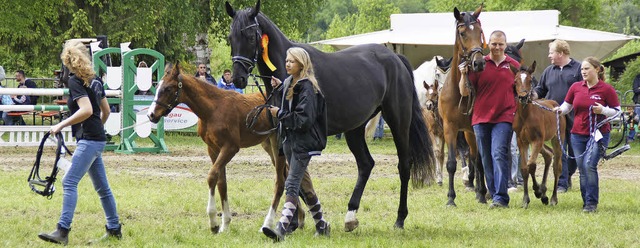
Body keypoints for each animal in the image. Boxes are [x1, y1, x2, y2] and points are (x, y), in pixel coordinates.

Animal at [146, 63, 318, 232]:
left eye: (168, 88)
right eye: (158, 86)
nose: (151, 115)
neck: (213, 109)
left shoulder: (230, 148)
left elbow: (212, 176)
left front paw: (214, 222)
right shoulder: (213, 149)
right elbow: (222, 182)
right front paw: (225, 224)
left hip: (277, 146)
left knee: (280, 181)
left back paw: (268, 223)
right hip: (268, 145)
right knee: (288, 174)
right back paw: (299, 218)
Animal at [225, 0, 436, 231]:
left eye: (251, 37)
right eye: (230, 38)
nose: (238, 78)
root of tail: (395, 58)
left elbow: (297, 177)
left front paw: (300, 221)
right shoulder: (282, 135)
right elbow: (292, 176)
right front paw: (294, 221)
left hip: (399, 121)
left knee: (404, 165)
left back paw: (399, 218)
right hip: (355, 128)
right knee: (366, 164)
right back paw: (350, 216)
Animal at [516, 61, 564, 208]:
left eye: (530, 80)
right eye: (515, 80)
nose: (523, 97)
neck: (525, 116)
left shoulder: (536, 140)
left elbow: (532, 165)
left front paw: (538, 191)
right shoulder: (522, 141)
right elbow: (524, 168)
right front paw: (525, 199)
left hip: (556, 139)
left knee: (557, 167)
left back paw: (553, 198)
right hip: (541, 142)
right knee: (548, 154)